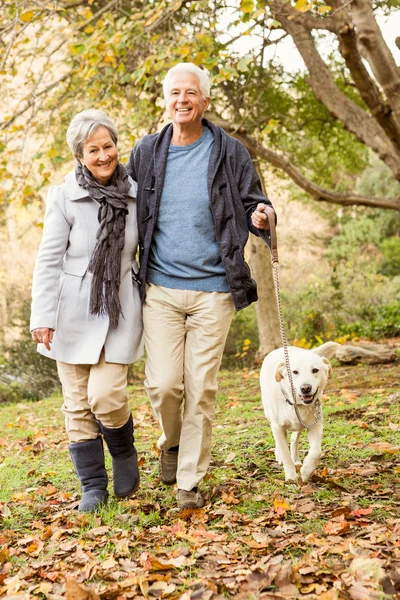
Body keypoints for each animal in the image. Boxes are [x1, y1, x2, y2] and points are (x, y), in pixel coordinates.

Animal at [260, 344, 336, 480]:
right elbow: (285, 453)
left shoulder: (315, 425)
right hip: (270, 416)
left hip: (300, 424)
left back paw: (296, 460)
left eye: (315, 370)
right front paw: (291, 476)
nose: (305, 388)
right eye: (294, 372)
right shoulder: (277, 427)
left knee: (294, 439)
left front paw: (306, 472)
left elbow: (316, 452)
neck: (297, 404)